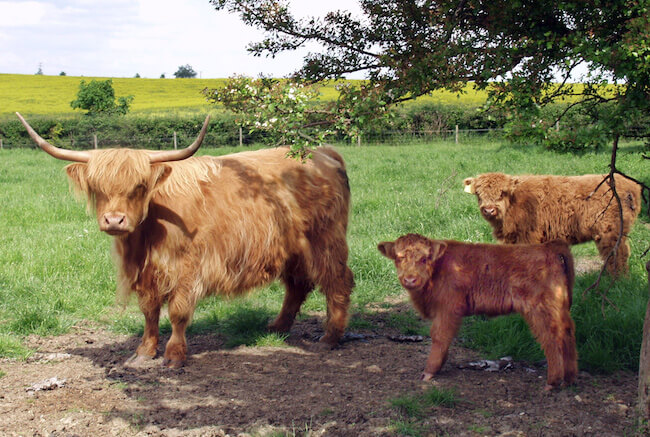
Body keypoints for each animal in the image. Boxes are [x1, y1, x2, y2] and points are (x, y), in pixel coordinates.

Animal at [17, 112, 354, 368]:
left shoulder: (189, 267)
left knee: (337, 281)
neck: (146, 236)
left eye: (139, 186)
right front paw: (144, 352)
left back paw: (329, 337)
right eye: (97, 187)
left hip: (325, 240)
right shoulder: (148, 272)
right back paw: (277, 328)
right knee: (297, 285)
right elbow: (149, 311)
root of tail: (323, 153)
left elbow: (178, 312)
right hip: (291, 247)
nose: (114, 220)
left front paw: (174, 355)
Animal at [378, 233, 578, 390]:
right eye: (398, 258)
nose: (410, 279)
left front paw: (429, 371)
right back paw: (569, 379)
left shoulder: (447, 309)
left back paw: (552, 382)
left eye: (424, 259)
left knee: (551, 338)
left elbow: (439, 336)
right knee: (567, 334)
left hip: (541, 311)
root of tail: (548, 247)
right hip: (558, 310)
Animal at [463, 172, 642, 276]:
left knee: (618, 254)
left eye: (502, 193)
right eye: (478, 194)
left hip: (610, 232)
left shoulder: (528, 237)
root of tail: (631, 184)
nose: (489, 210)